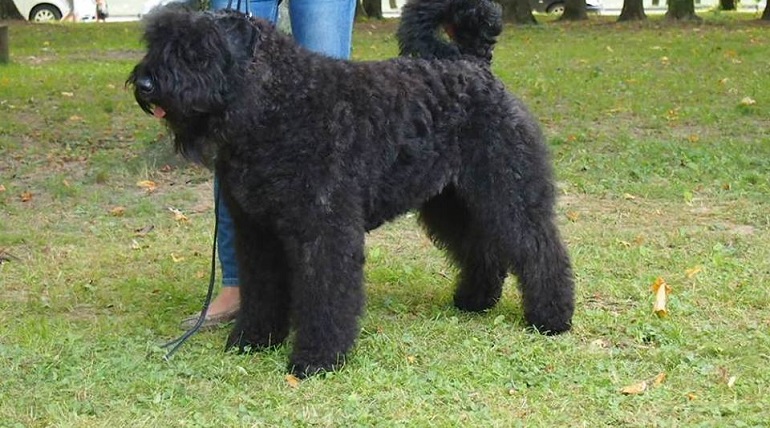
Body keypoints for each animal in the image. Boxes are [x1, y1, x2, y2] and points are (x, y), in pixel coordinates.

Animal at [129, 0, 568, 376]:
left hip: (507, 189)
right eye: (157, 41)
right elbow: (261, 288)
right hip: (451, 201)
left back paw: (553, 318)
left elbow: (326, 293)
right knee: (480, 247)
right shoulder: (257, 231)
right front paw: (253, 340)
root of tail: (474, 65)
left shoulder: (324, 228)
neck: (277, 103)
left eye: (198, 49)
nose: (146, 83)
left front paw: (316, 359)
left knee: (539, 247)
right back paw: (475, 300)